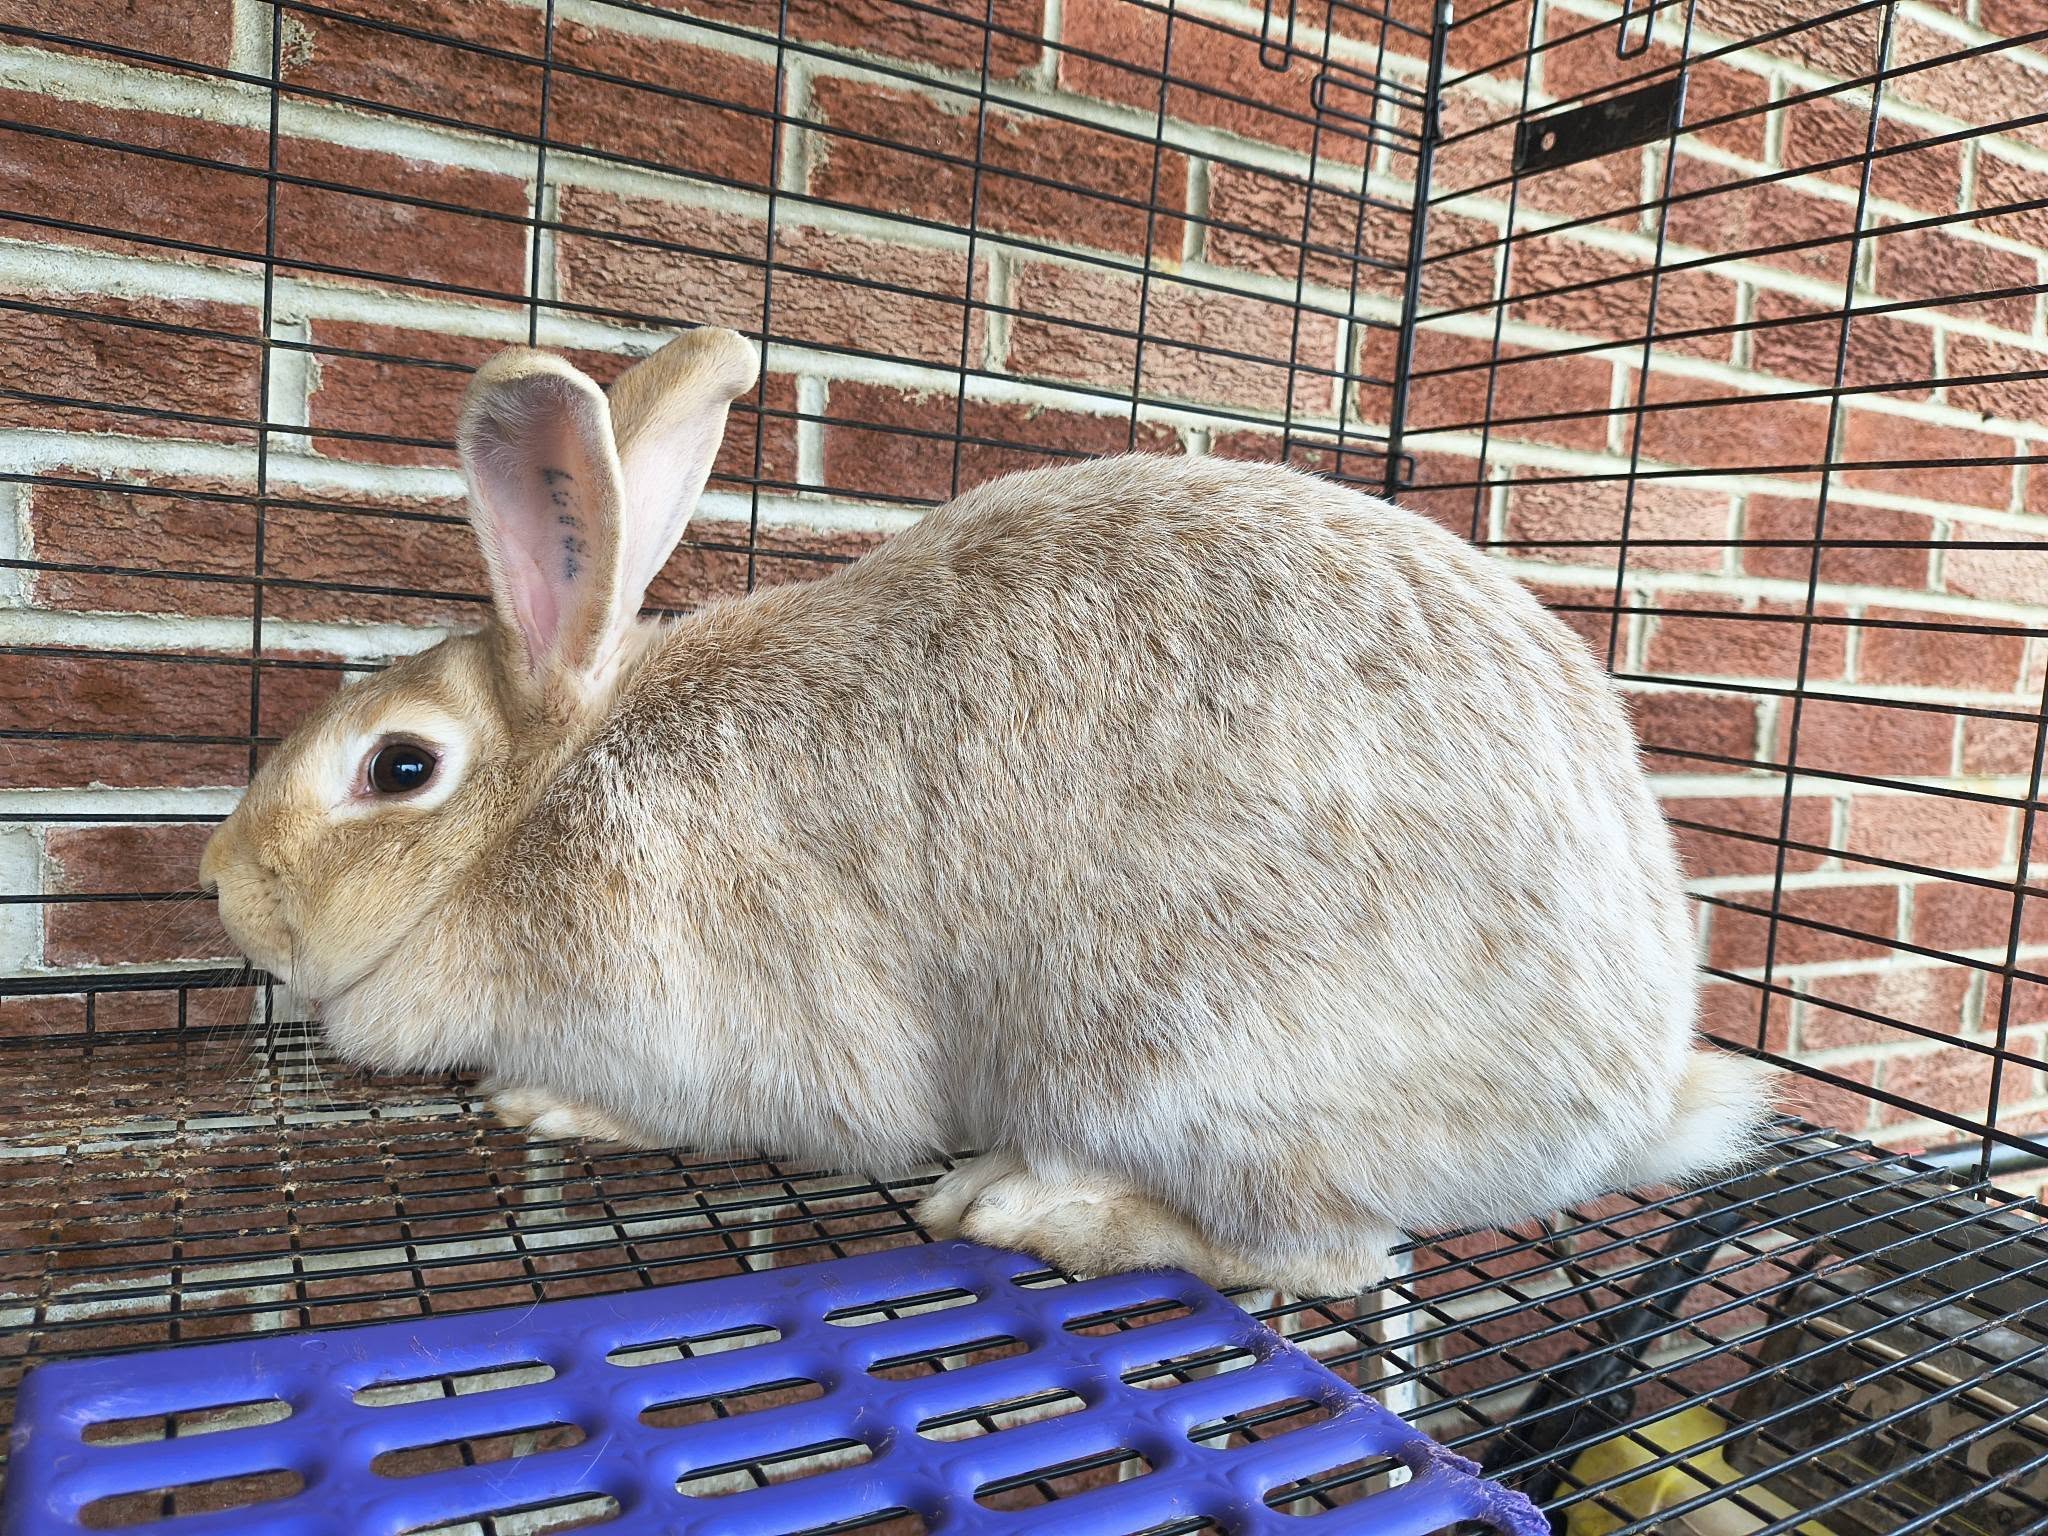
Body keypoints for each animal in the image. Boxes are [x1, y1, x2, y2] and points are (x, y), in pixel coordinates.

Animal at [199, 324, 1778, 1296]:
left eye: (399, 768)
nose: (217, 884)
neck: (547, 796)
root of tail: (1622, 1103)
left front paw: (546, 1099)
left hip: (1185, 1066)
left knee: (1316, 1254)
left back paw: (1029, 1210)